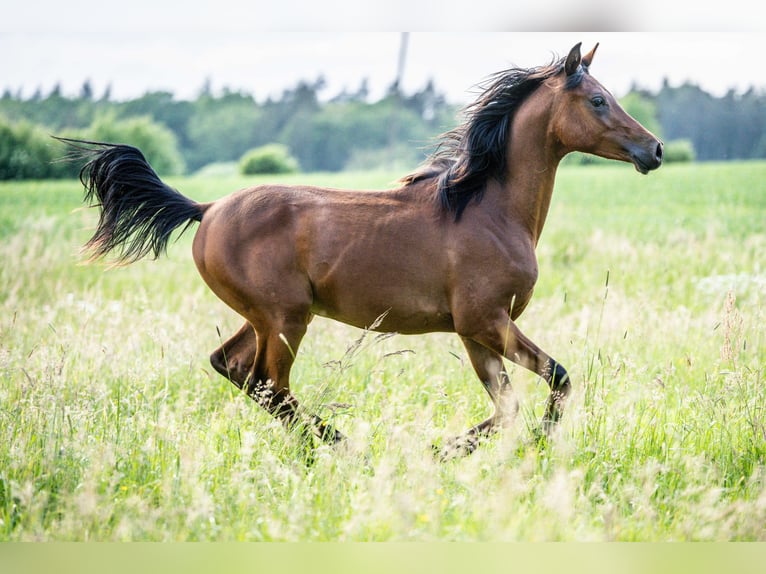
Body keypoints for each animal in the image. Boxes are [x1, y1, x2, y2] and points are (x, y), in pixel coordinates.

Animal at [57, 42, 664, 462]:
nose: (654, 149)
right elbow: (557, 381)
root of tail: (207, 210)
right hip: (286, 318)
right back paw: (339, 448)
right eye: (598, 100)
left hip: (262, 317)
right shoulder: (487, 321)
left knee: (235, 369)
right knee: (271, 385)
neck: (488, 208)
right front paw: (495, 446)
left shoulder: (475, 332)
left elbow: (509, 408)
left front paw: (445, 450)